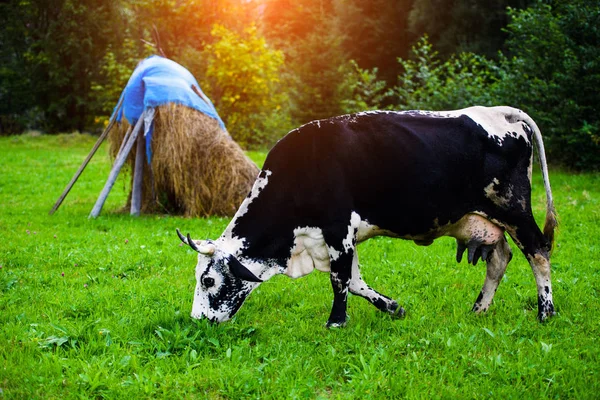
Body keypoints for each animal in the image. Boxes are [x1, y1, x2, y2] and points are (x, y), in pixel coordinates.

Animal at [176, 106, 556, 328]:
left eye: (207, 280)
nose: (197, 321)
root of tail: (500, 112)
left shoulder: (338, 231)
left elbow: (340, 280)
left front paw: (335, 322)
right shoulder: (336, 239)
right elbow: (356, 282)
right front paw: (393, 308)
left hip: (514, 209)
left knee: (538, 252)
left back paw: (546, 312)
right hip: (486, 221)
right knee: (500, 258)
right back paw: (479, 310)